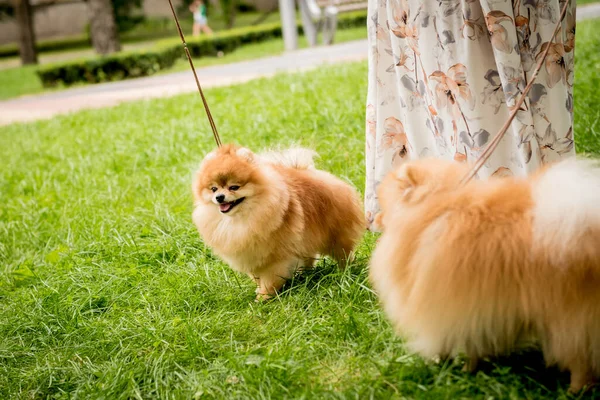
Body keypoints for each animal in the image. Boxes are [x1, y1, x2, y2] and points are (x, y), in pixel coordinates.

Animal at [192, 144, 366, 300]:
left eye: (234, 187)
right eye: (213, 189)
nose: (219, 197)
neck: (241, 218)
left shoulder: (274, 258)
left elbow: (270, 279)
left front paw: (264, 296)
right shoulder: (250, 255)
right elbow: (257, 277)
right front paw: (260, 290)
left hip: (335, 236)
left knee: (343, 254)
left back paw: (346, 271)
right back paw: (306, 273)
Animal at [368, 158, 600, 392]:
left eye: (383, 205)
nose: (373, 219)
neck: (437, 207)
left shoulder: (449, 303)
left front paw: (448, 366)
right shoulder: (480, 307)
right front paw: (470, 370)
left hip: (566, 321)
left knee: (580, 359)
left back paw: (575, 390)